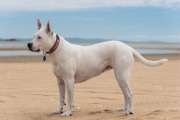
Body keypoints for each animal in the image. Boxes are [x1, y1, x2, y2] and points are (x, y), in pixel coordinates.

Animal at [27, 19, 168, 116]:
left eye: (39, 37)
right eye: (34, 36)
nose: (28, 44)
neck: (57, 51)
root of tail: (128, 47)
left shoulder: (69, 81)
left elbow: (69, 99)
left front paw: (67, 113)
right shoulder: (60, 81)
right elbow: (62, 98)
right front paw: (59, 110)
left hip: (121, 76)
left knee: (129, 94)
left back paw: (129, 111)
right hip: (120, 78)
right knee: (125, 94)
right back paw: (125, 108)